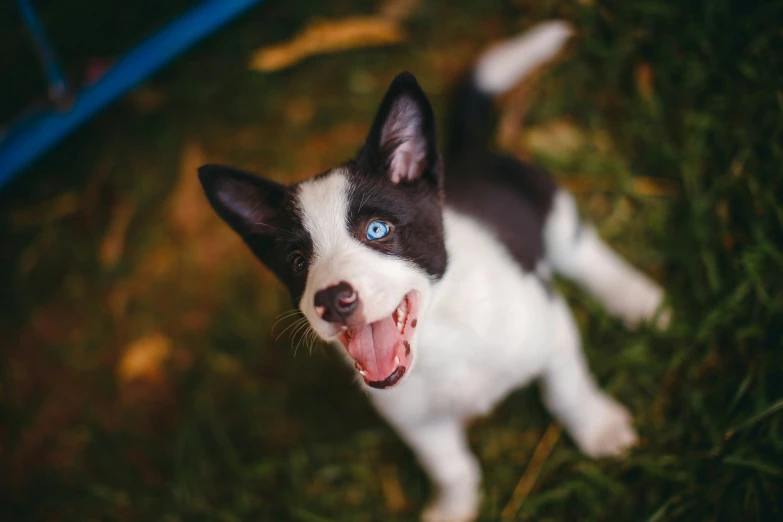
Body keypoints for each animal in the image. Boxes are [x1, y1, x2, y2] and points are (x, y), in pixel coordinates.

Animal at [199, 21, 672, 520]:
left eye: (377, 229)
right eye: (296, 261)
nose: (331, 300)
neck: (441, 336)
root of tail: (463, 155)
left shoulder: (550, 326)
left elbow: (567, 390)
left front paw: (598, 427)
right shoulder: (414, 419)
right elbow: (450, 465)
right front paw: (454, 506)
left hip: (547, 204)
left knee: (582, 250)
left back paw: (636, 299)